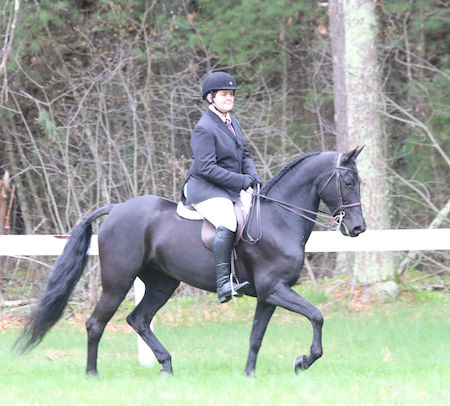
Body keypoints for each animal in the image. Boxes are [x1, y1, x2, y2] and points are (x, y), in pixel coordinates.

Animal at [16, 149, 366, 378]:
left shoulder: (268, 295)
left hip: (162, 283)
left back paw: (166, 366)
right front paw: (303, 361)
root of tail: (116, 209)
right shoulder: (275, 289)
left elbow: (256, 337)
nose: (358, 229)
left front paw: (249, 375)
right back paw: (92, 375)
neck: (279, 220)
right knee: (95, 323)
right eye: (348, 182)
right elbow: (317, 316)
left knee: (139, 319)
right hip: (118, 283)